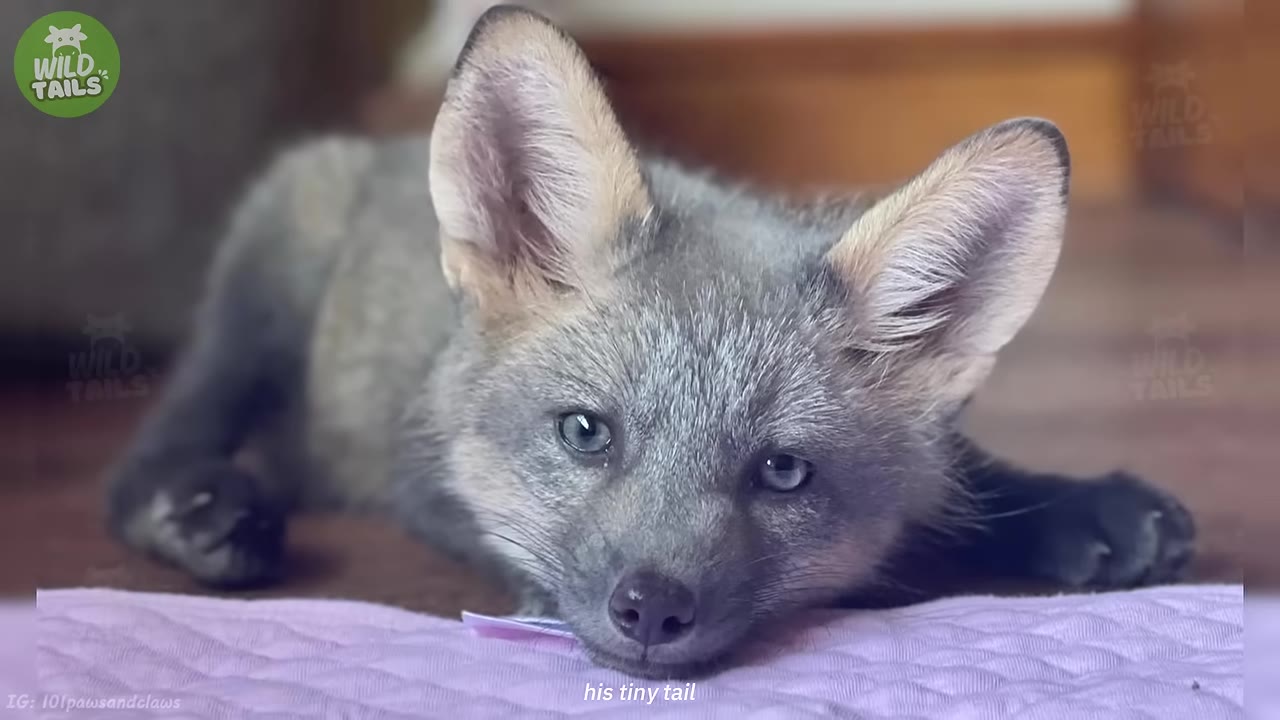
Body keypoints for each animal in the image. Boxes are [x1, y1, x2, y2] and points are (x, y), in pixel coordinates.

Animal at [105, 6, 1196, 679]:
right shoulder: (425, 472)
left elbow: (963, 474)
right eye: (585, 433)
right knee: (153, 450)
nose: (653, 611)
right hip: (271, 261)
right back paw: (191, 507)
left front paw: (1071, 506)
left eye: (782, 473)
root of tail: (382, 141)